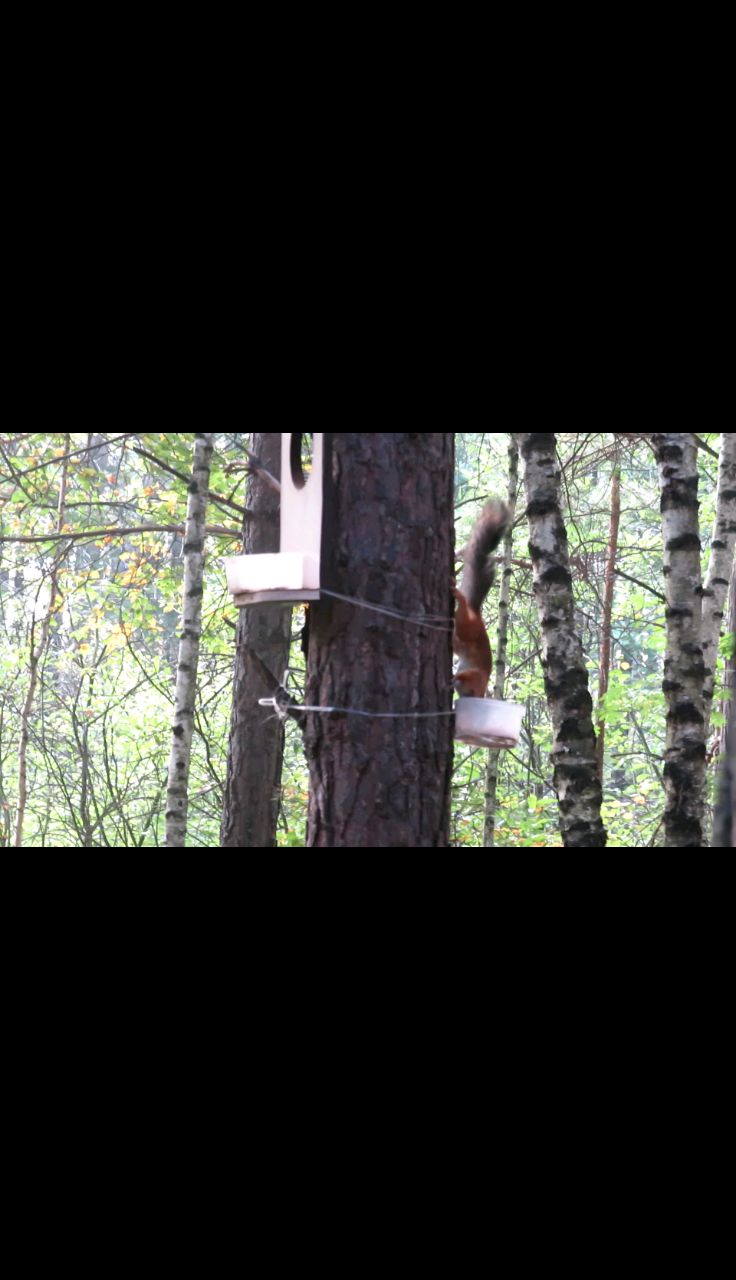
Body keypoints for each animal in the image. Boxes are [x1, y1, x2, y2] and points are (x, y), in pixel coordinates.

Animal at [452, 499, 510, 698]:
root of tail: (475, 612)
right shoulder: (475, 675)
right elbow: (465, 675)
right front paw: (454, 678)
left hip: (461, 637)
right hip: (467, 628)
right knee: (461, 610)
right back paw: (457, 594)